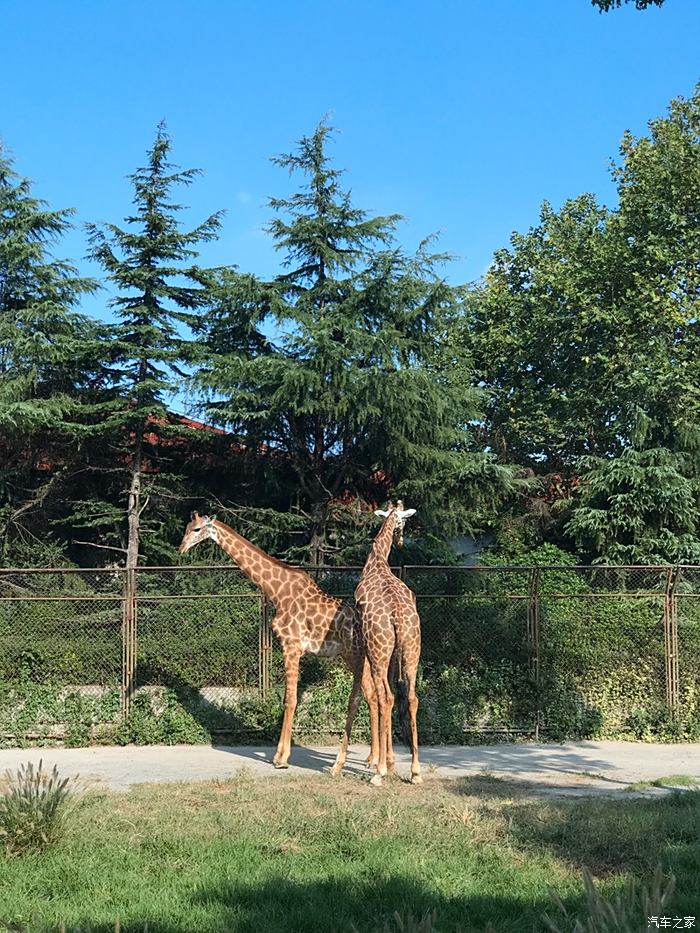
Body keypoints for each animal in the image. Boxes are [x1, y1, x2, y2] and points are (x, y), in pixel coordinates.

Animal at [178, 512, 380, 768]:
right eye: (187, 527)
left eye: (196, 529)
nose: (181, 548)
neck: (276, 591)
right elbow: (289, 698)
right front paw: (281, 755)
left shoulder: (291, 645)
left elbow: (290, 699)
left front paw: (280, 758)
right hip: (355, 657)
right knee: (373, 695)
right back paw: (372, 758)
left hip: (355, 655)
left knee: (373, 695)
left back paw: (375, 760)